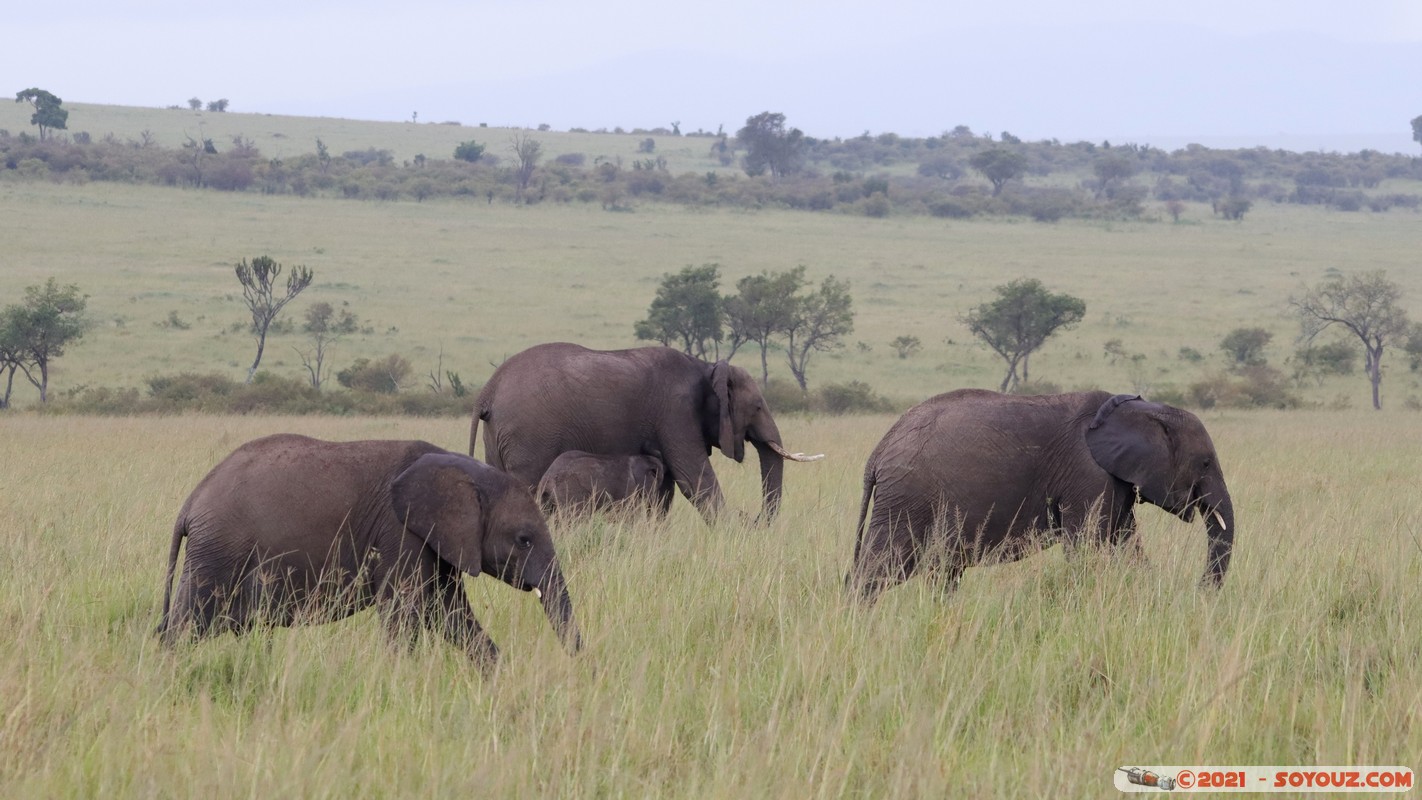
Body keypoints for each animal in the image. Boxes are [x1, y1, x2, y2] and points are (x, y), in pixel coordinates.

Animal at [155, 431, 577, 670]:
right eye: (524, 539)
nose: (581, 670)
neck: (466, 470)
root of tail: (190, 504)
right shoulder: (399, 532)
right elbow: (406, 611)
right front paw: (400, 678)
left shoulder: (435, 541)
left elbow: (449, 611)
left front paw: (495, 677)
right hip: (217, 553)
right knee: (186, 626)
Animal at [841, 389, 1234, 602]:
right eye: (1204, 463)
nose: (1199, 592)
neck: (1137, 408)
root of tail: (878, 451)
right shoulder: (1088, 473)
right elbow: (1088, 547)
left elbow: (1126, 544)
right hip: (908, 497)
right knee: (882, 569)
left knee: (938, 570)